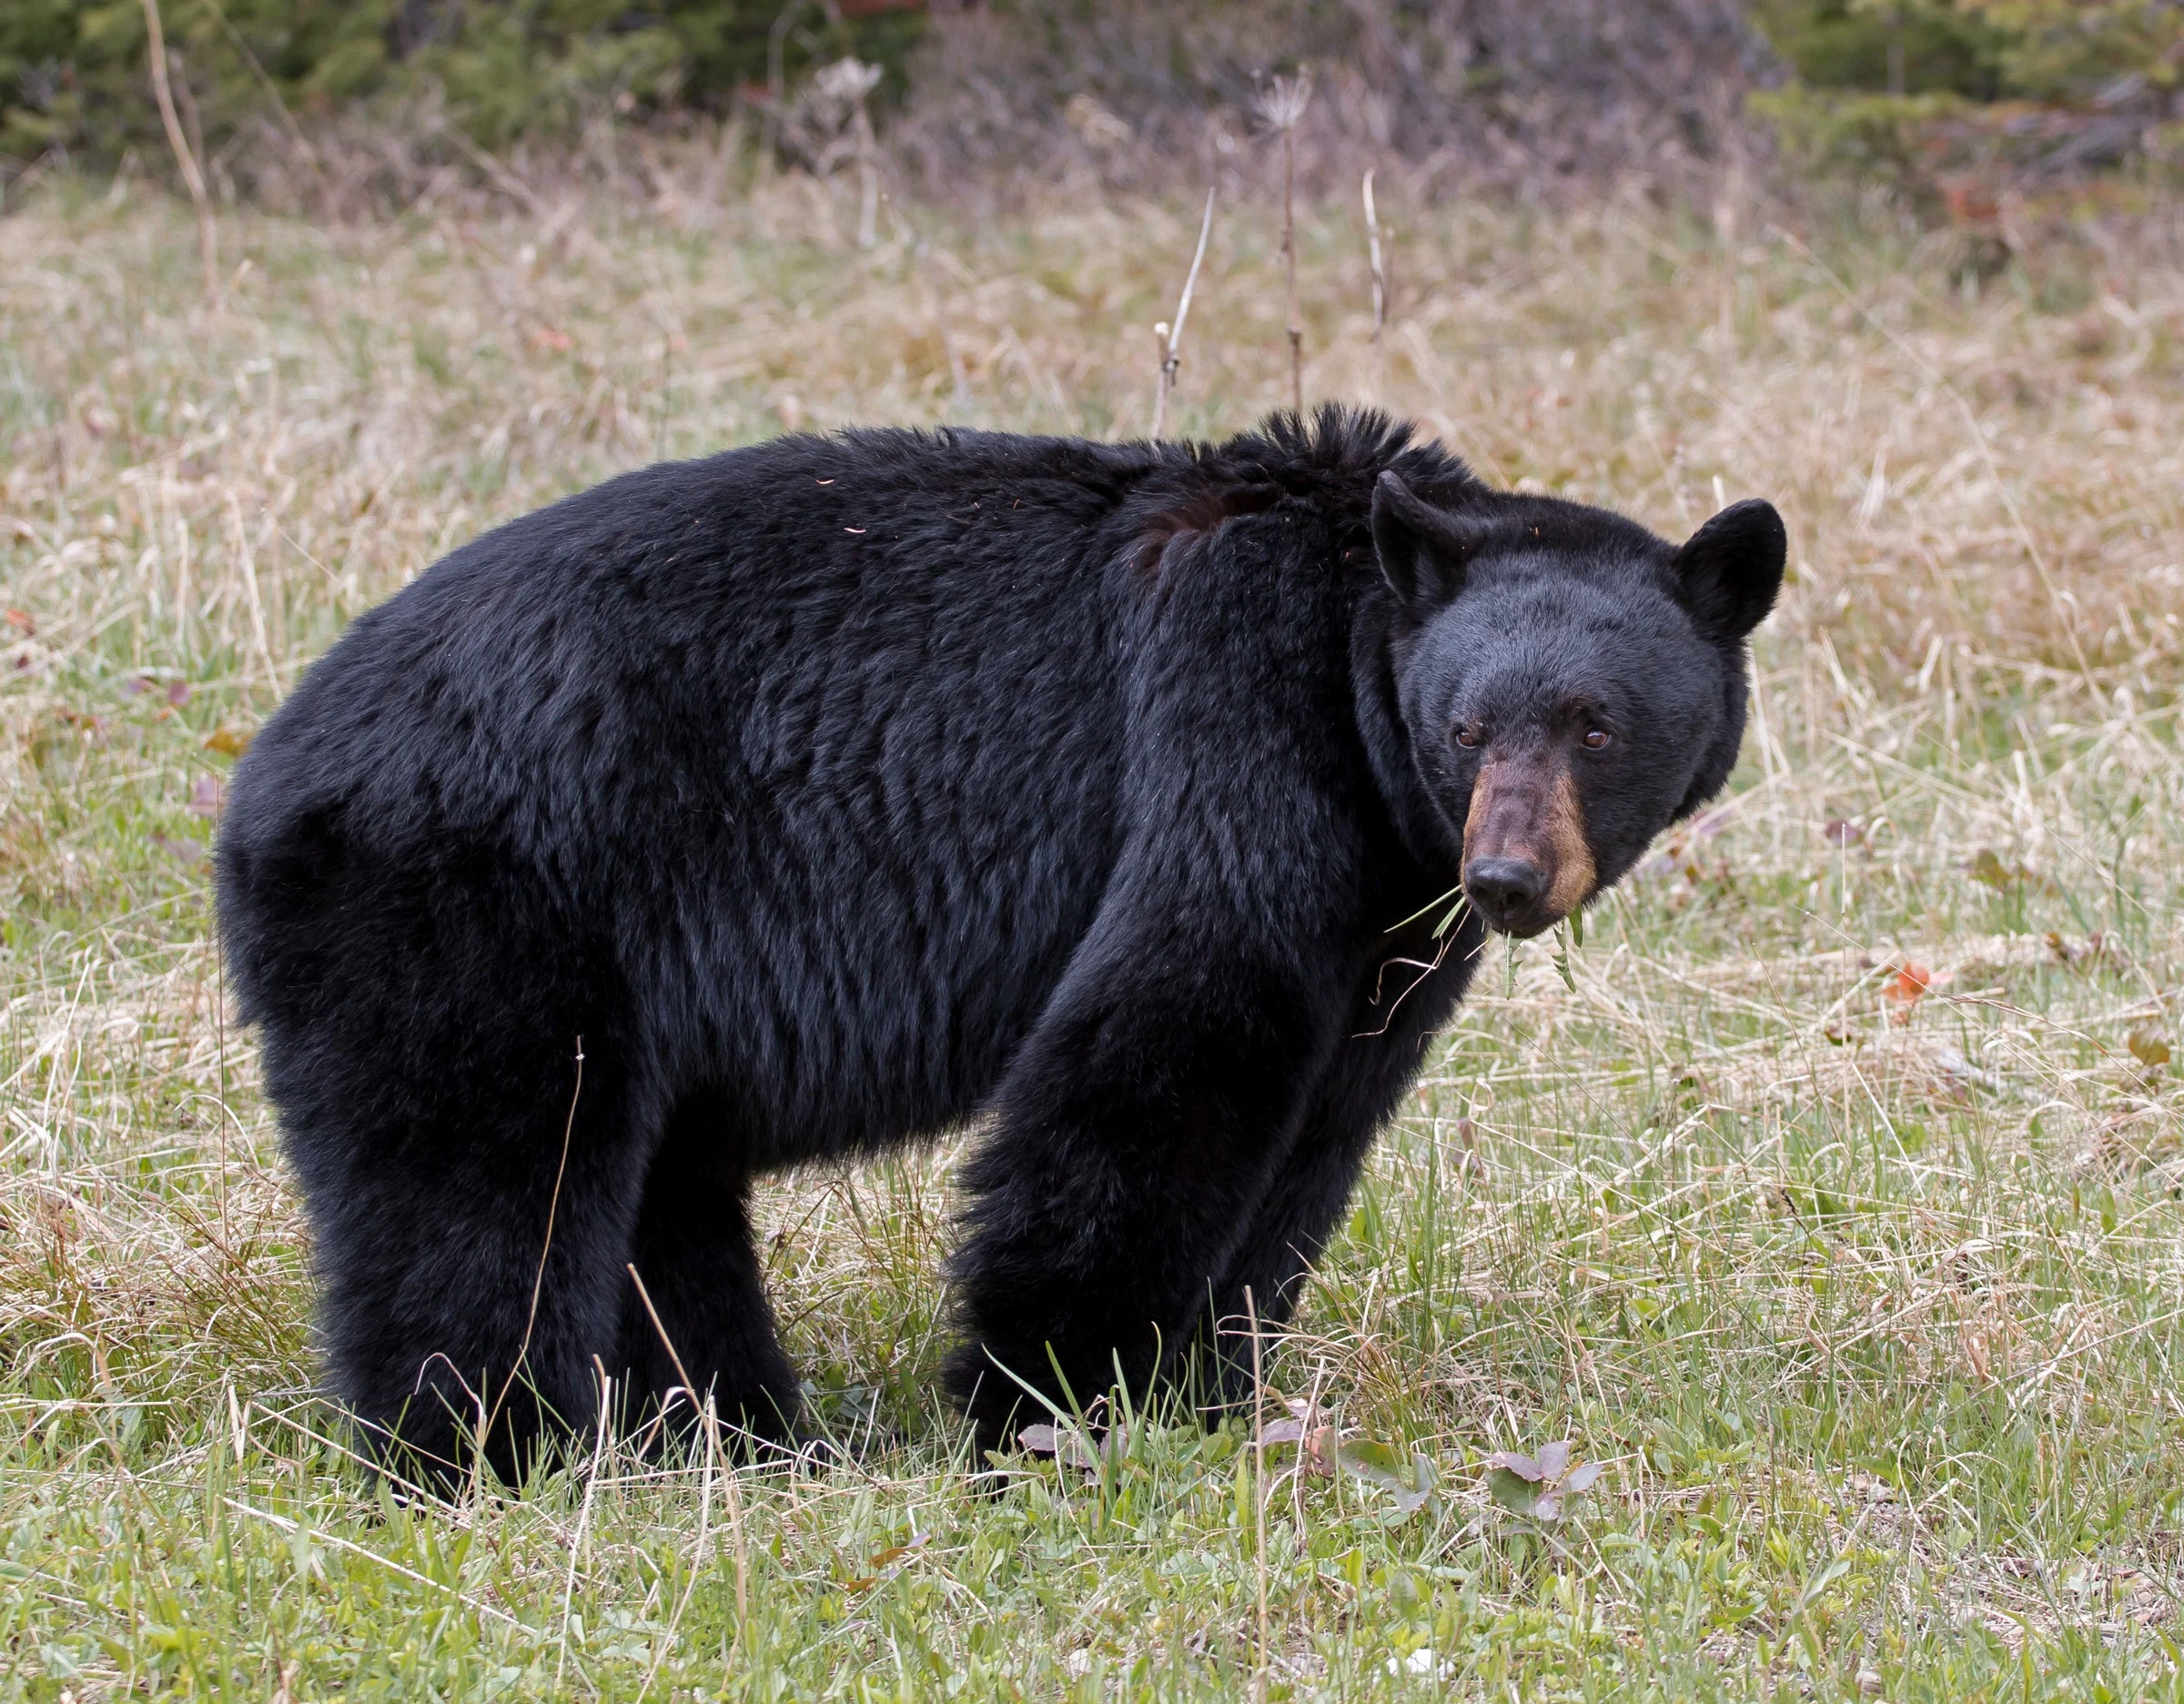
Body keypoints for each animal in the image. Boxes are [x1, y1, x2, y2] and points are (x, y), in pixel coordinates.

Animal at [221, 406, 1782, 1485]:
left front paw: (1214, 1382)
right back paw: (494, 1450)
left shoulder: (1389, 907)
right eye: (1468, 726)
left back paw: (737, 1433)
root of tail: (259, 778)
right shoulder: (1237, 735)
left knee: (654, 1197)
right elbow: (1167, 1043)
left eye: (1593, 723)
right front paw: (1056, 1403)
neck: (1349, 659)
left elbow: (1322, 1125)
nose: (1507, 874)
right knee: (483, 1185)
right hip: (481, 902)